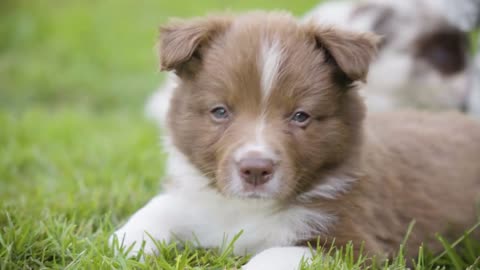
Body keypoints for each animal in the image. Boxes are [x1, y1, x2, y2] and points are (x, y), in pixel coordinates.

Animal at [112, 11, 480, 268]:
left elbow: (273, 255)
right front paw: (126, 241)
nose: (255, 169)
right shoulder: (202, 197)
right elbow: (159, 207)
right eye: (220, 112)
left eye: (300, 116)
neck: (249, 210)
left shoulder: (356, 246)